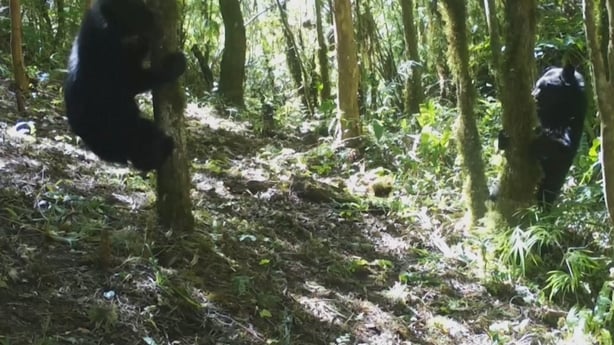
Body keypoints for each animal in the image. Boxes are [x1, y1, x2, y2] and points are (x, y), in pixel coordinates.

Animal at [64, 0, 188, 171]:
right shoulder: (108, 55)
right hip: (115, 126)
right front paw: (174, 66)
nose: (151, 19)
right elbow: (132, 80)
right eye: (135, 10)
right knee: (141, 139)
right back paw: (160, 150)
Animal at [498, 65, 588, 207]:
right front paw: (503, 138)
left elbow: (563, 145)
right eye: (536, 84)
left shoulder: (573, 119)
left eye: (546, 86)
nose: (533, 96)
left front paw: (538, 141)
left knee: (547, 191)